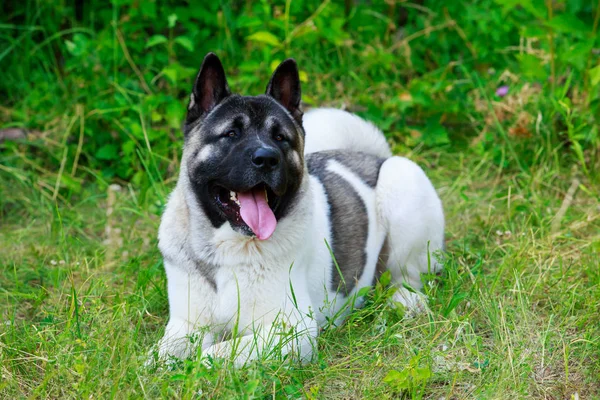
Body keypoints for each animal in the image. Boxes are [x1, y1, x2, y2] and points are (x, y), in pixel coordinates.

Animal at [151, 54, 446, 368]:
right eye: (231, 134)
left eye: (280, 137)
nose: (266, 158)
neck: (228, 247)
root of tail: (376, 157)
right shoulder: (186, 325)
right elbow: (161, 354)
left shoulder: (291, 331)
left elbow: (216, 354)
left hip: (401, 182)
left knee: (411, 277)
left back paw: (404, 301)